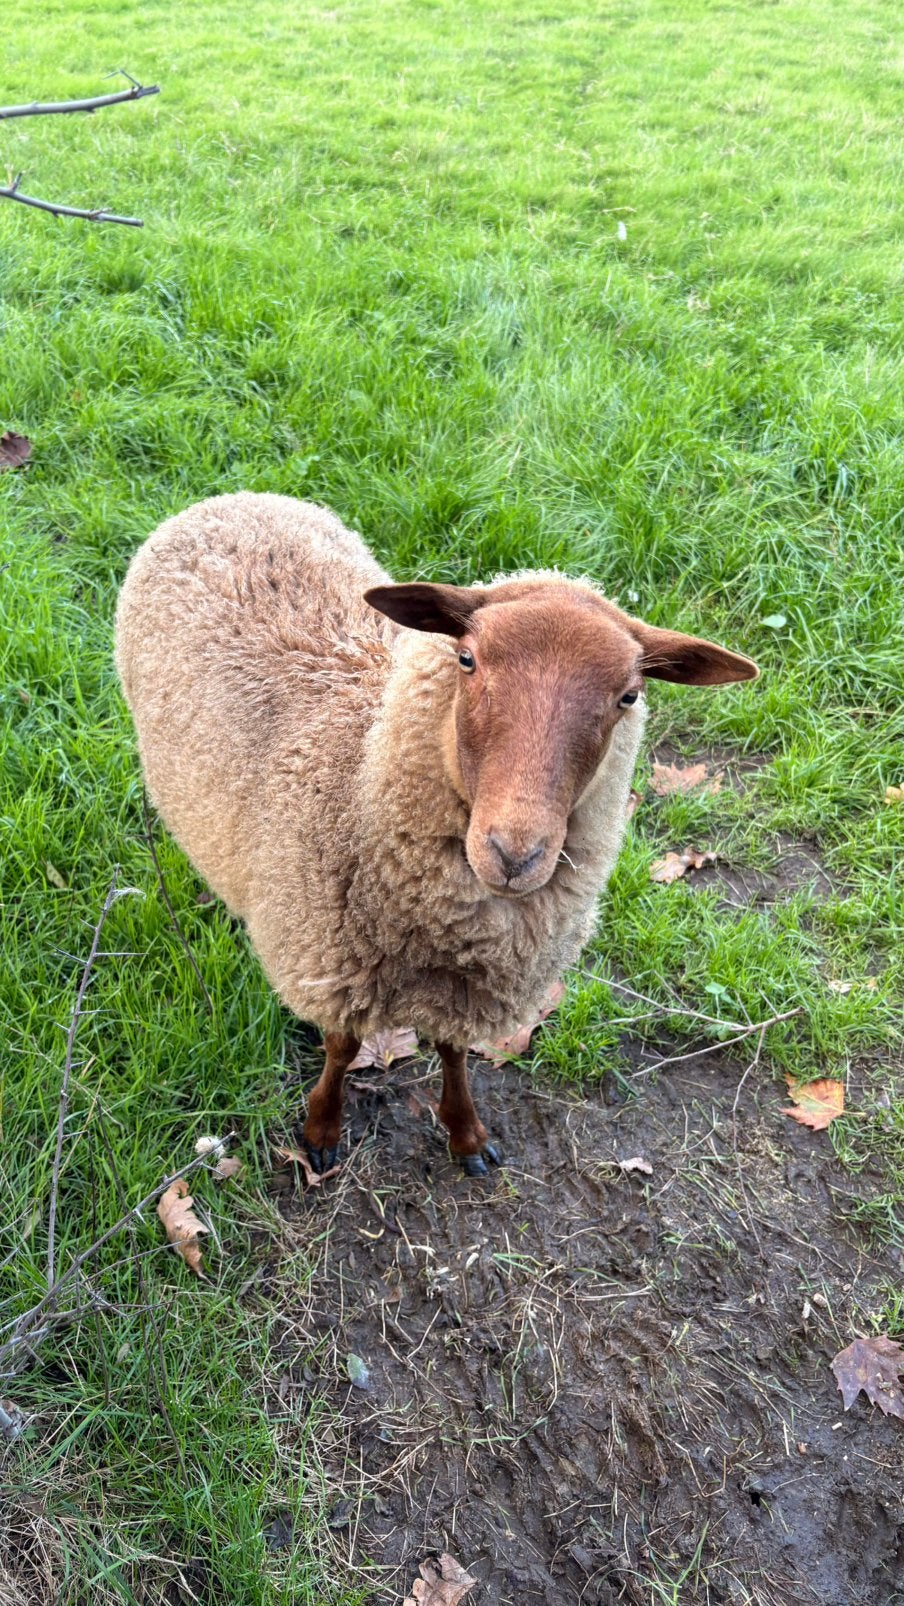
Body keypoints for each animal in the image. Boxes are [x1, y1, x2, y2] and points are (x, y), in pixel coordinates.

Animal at [115, 492, 757, 1175]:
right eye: (467, 658)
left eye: (629, 696)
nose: (515, 854)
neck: (359, 769)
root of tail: (235, 499)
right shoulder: (330, 967)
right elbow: (342, 1050)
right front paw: (321, 1131)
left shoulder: (468, 991)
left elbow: (453, 1054)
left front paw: (466, 1135)